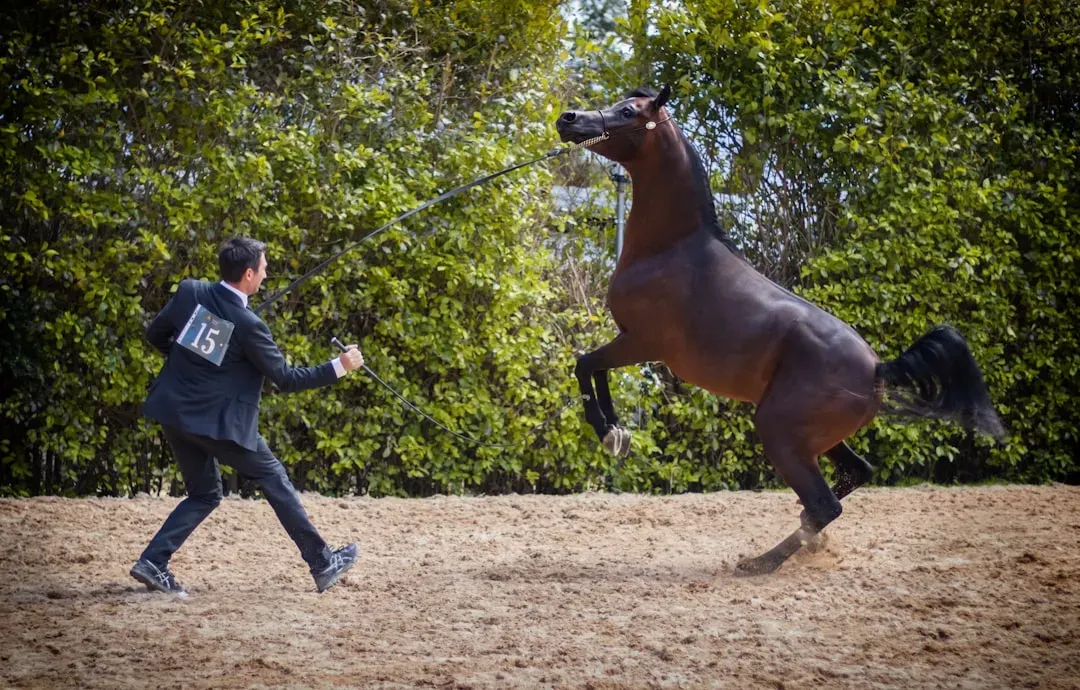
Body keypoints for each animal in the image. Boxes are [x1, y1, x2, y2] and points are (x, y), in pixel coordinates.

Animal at [554, 86, 1005, 576]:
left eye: (628, 112)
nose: (568, 118)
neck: (672, 249)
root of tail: (878, 369)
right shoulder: (633, 344)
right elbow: (595, 370)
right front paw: (616, 433)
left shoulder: (641, 343)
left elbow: (585, 365)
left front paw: (608, 431)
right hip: (813, 440)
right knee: (853, 478)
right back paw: (801, 543)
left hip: (779, 432)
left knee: (826, 503)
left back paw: (759, 563)